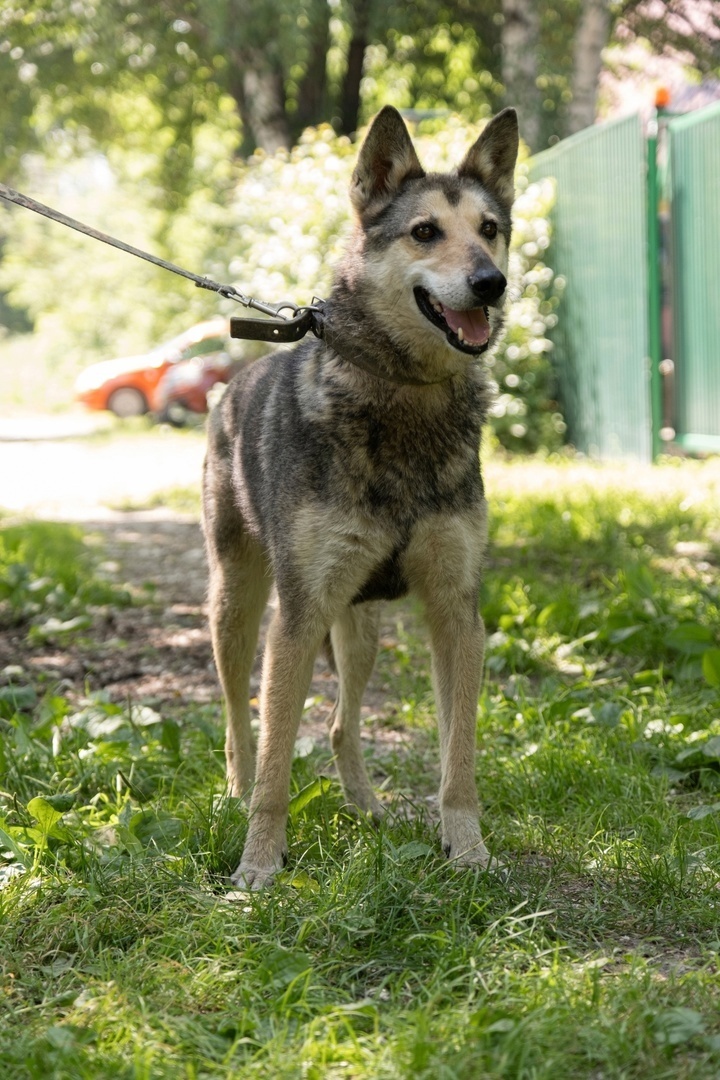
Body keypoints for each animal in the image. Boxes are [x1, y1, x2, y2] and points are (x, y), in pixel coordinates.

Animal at [201, 103, 518, 885]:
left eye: (490, 228)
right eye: (425, 231)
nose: (492, 282)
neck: (405, 396)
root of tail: (234, 382)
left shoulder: (457, 613)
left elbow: (459, 760)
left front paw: (468, 850)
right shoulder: (296, 615)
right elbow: (277, 765)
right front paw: (259, 867)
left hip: (359, 626)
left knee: (344, 722)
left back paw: (365, 807)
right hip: (238, 608)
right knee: (239, 719)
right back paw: (233, 794)